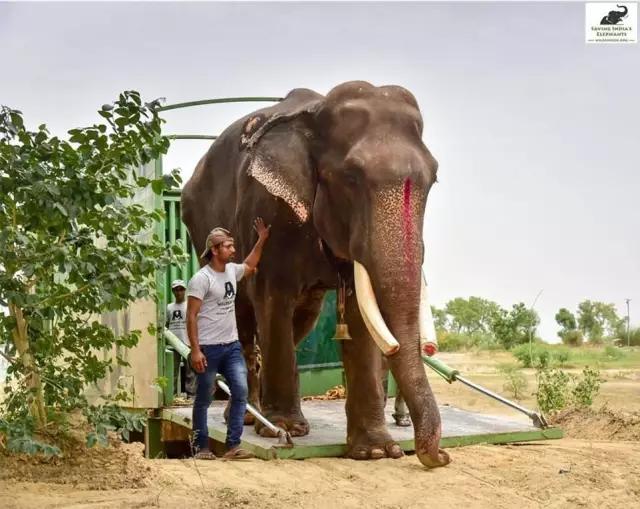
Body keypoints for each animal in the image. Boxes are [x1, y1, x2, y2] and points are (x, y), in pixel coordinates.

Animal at [180, 80, 450, 468]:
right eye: (351, 177)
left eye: (434, 179)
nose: (441, 456)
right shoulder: (270, 207)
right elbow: (272, 297)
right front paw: (284, 428)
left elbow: (359, 316)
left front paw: (376, 451)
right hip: (200, 221)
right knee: (245, 317)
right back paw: (247, 416)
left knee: (302, 318)